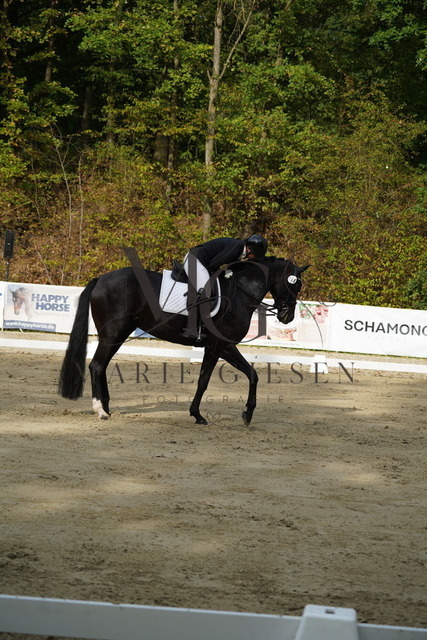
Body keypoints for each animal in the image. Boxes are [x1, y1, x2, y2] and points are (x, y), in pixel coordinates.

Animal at [58, 251, 308, 425]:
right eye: (295, 283)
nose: (287, 316)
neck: (240, 293)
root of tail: (101, 279)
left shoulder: (219, 347)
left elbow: (238, 375)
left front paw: (230, 414)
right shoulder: (221, 345)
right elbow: (214, 378)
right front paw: (212, 415)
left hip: (119, 333)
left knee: (101, 366)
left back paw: (107, 408)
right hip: (113, 332)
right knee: (97, 365)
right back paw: (100, 410)